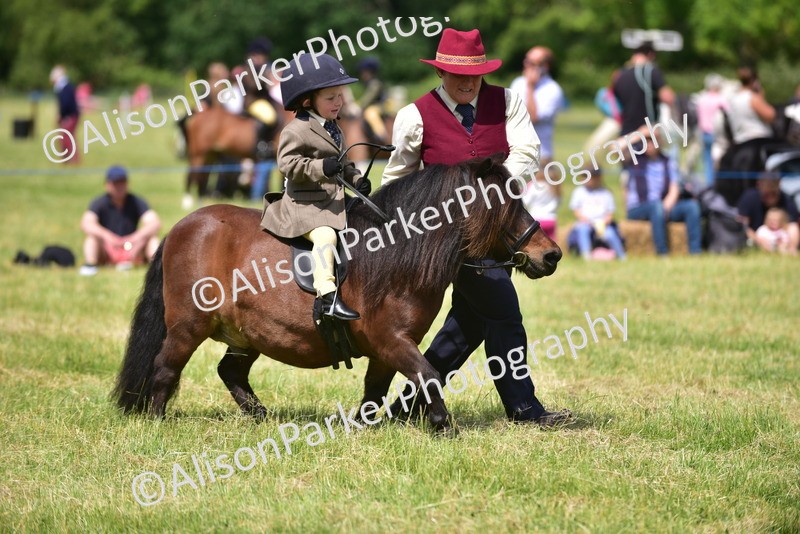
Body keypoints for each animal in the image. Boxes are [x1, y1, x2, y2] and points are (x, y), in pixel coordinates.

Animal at [112, 154, 562, 432]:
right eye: (505, 203)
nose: (552, 254)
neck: (396, 253)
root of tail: (182, 227)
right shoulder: (391, 340)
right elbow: (429, 375)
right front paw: (442, 425)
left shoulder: (386, 348)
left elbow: (377, 390)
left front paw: (363, 426)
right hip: (189, 326)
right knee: (165, 367)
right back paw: (157, 420)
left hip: (247, 332)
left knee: (231, 371)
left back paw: (260, 414)